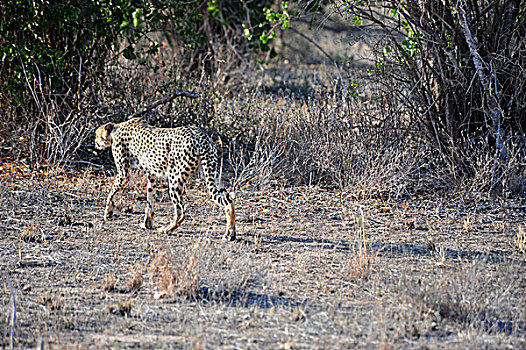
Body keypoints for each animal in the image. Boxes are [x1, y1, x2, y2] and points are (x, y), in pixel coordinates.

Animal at [95, 117, 237, 241]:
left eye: (96, 134)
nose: (95, 142)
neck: (116, 129)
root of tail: (202, 136)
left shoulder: (124, 173)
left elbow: (111, 193)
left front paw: (107, 212)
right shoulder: (152, 175)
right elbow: (150, 199)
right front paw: (147, 223)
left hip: (174, 178)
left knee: (181, 211)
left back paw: (167, 229)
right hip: (212, 175)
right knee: (228, 202)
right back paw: (230, 234)